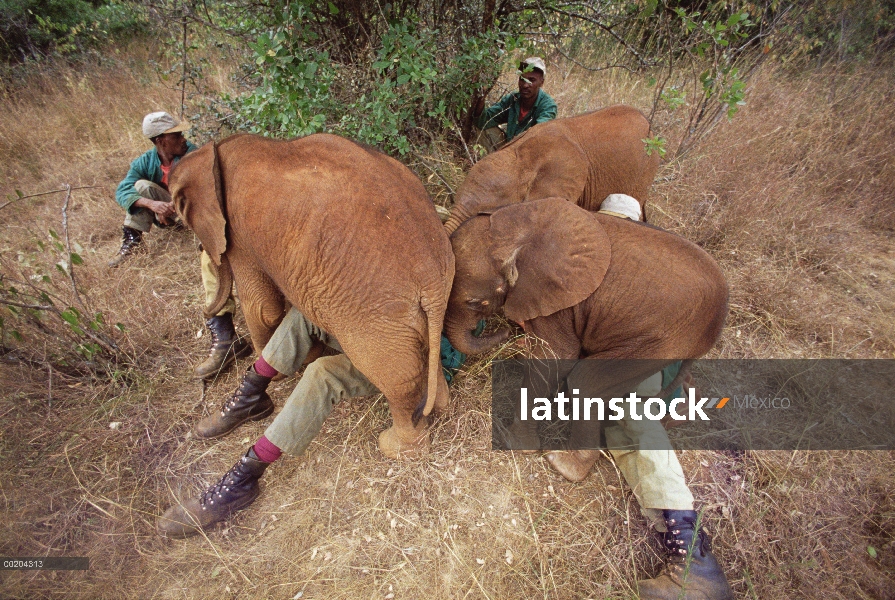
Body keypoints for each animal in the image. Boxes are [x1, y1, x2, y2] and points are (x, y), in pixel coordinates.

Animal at [170, 134, 456, 458]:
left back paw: (395, 446)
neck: (213, 151)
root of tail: (432, 277)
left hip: (377, 314)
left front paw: (280, 374)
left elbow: (262, 307)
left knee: (397, 377)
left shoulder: (240, 234)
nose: (206, 311)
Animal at [444, 199, 732, 480]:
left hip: (662, 339)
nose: (506, 333)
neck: (514, 229)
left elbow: (554, 359)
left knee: (587, 381)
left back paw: (563, 465)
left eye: (474, 303)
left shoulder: (557, 301)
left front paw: (515, 444)